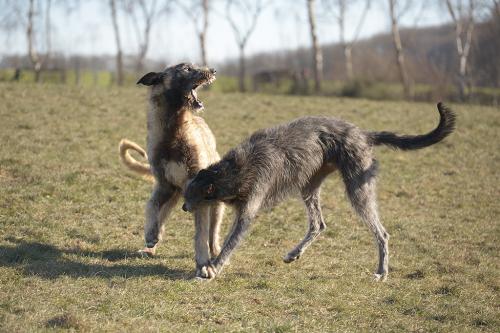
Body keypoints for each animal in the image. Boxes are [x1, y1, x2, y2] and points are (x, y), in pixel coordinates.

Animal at [182, 102, 456, 278]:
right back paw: (295, 253)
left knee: (382, 233)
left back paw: (382, 271)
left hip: (358, 189)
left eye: (190, 196)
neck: (232, 171)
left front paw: (214, 267)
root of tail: (363, 134)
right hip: (309, 186)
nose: (183, 207)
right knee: (318, 224)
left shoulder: (248, 210)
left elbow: (232, 241)